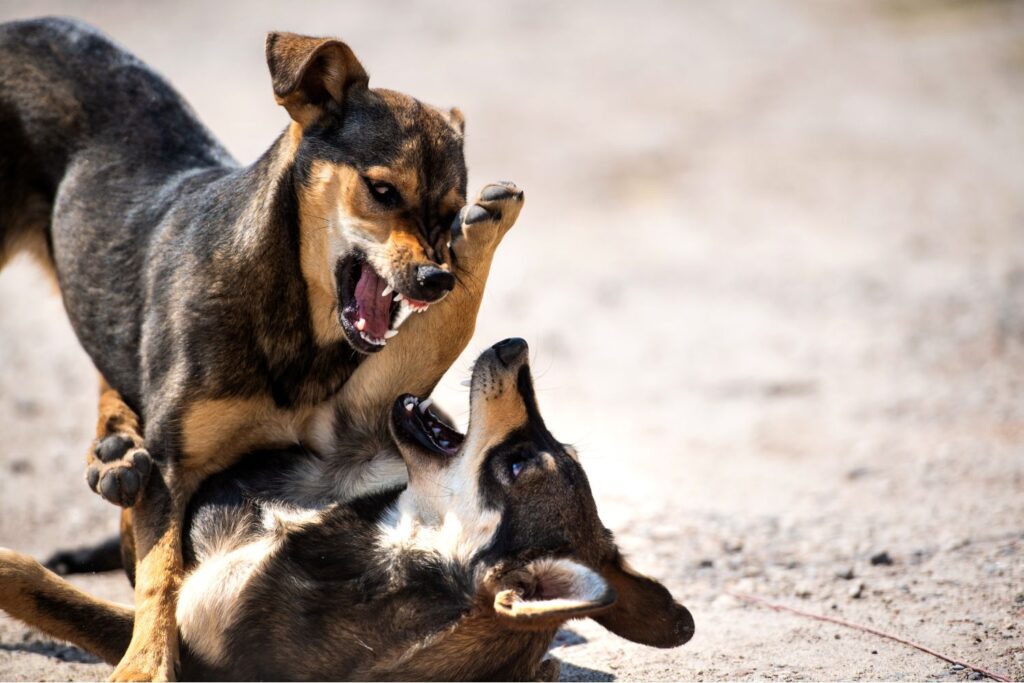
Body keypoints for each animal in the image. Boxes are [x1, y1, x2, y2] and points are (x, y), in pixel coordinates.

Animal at [0, 15, 524, 679]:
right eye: (382, 191)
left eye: (450, 213)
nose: (437, 280)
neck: (298, 325)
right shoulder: (174, 469)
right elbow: (160, 575)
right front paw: (147, 661)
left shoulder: (359, 413)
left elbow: (448, 331)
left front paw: (484, 237)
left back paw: (115, 455)